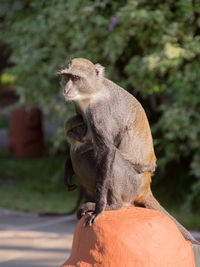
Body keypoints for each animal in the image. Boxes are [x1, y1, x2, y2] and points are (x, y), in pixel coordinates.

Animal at [58, 58, 199, 245]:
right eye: (66, 77)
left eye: (75, 78)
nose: (66, 88)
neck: (94, 92)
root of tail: (145, 186)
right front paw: (67, 170)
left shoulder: (98, 113)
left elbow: (107, 151)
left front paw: (100, 209)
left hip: (131, 183)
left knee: (105, 157)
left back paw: (114, 205)